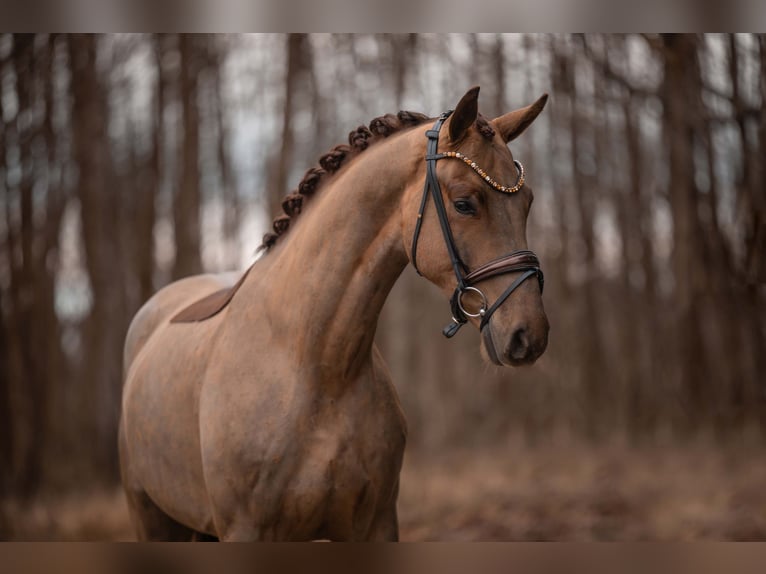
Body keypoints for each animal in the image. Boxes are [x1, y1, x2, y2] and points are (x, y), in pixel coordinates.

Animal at [118, 84, 552, 540]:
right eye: (465, 203)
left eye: (528, 202)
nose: (529, 334)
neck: (315, 366)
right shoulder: (246, 529)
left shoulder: (377, 524)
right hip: (150, 516)